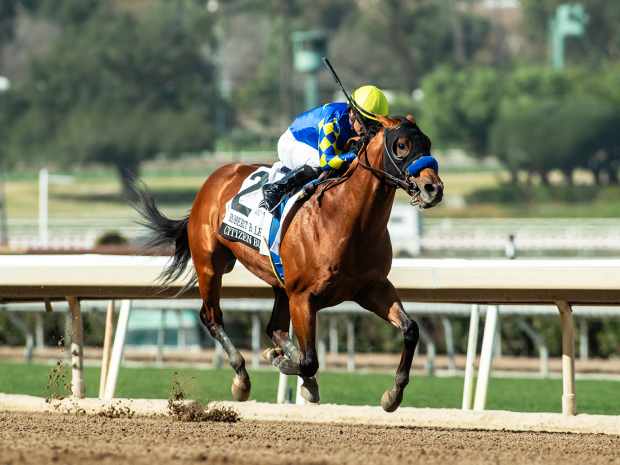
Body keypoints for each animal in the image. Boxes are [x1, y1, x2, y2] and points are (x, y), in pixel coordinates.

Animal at [133, 114, 444, 412]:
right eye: (401, 145)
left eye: (428, 143)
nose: (434, 188)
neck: (346, 219)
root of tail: (214, 178)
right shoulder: (303, 296)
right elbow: (310, 360)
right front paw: (284, 364)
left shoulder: (372, 288)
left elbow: (410, 329)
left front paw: (393, 394)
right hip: (211, 265)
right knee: (212, 317)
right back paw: (242, 379)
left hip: (279, 284)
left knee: (273, 327)